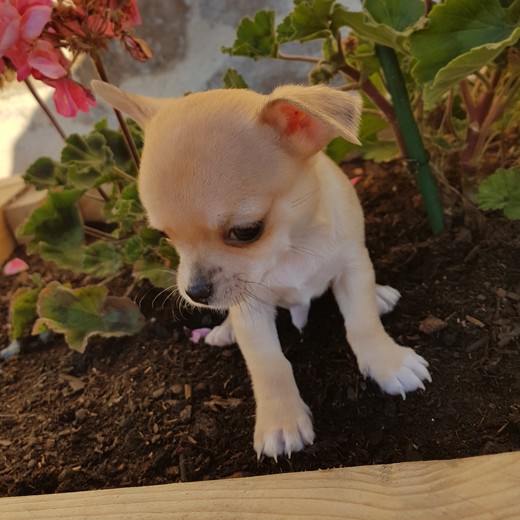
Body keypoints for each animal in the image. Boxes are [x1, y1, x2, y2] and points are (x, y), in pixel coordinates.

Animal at [92, 80, 430, 460]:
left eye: (246, 231)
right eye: (166, 236)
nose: (195, 292)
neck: (292, 249)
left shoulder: (352, 267)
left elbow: (362, 324)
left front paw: (389, 362)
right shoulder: (249, 308)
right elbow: (268, 364)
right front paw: (281, 421)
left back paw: (379, 295)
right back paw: (224, 330)